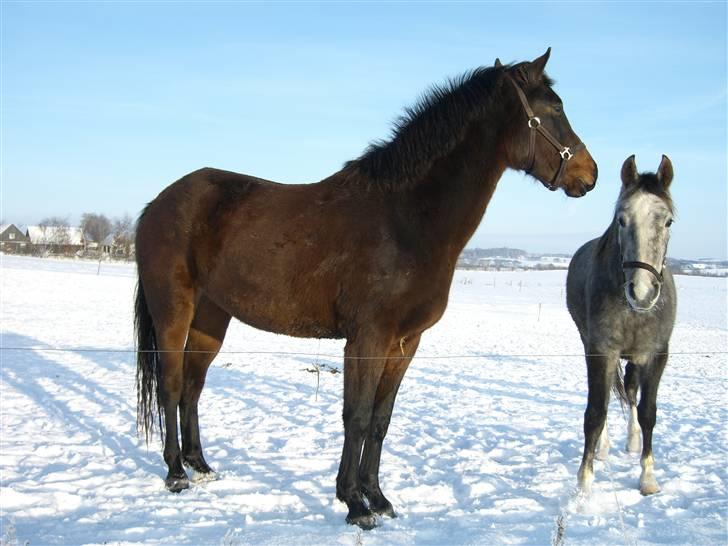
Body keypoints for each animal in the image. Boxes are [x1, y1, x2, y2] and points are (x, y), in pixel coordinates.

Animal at [136, 49, 596, 524]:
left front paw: (377, 496)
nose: (590, 174)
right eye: (554, 109)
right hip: (173, 310)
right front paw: (353, 502)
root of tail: (157, 204)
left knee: (193, 386)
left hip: (212, 317)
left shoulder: (405, 342)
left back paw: (200, 464)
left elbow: (380, 419)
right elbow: (355, 416)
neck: (405, 219)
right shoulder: (367, 337)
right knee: (171, 384)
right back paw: (176, 473)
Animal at [564, 155, 676, 496]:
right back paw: (603, 446)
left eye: (668, 222)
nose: (642, 292)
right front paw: (584, 484)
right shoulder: (601, 351)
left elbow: (648, 411)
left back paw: (632, 439)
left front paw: (648, 477)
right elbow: (595, 412)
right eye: (622, 220)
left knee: (630, 389)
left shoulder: (656, 354)